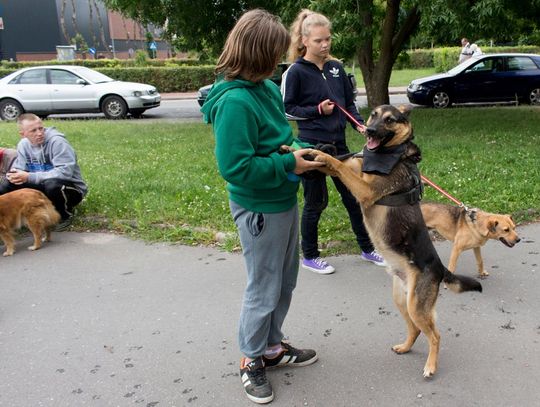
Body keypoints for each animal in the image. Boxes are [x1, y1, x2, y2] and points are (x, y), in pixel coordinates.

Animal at [310, 105, 484, 380]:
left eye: (390, 120)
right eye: (373, 115)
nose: (369, 130)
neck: (392, 154)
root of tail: (440, 269)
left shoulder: (364, 190)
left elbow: (338, 165)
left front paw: (321, 152)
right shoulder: (358, 173)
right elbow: (341, 163)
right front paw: (308, 149)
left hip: (416, 306)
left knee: (435, 335)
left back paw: (430, 367)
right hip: (402, 301)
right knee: (416, 329)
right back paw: (405, 347)